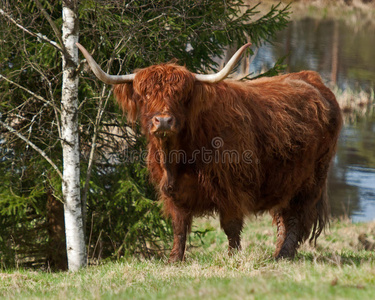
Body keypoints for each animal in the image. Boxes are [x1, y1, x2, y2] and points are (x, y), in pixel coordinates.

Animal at [77, 43, 344, 262]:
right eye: (145, 95)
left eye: (181, 96)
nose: (163, 121)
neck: (179, 157)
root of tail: (312, 78)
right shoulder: (173, 193)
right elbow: (179, 227)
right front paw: (174, 260)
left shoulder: (232, 187)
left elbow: (231, 226)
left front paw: (233, 257)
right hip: (285, 182)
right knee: (283, 219)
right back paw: (278, 253)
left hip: (310, 181)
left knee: (296, 218)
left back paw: (283, 255)